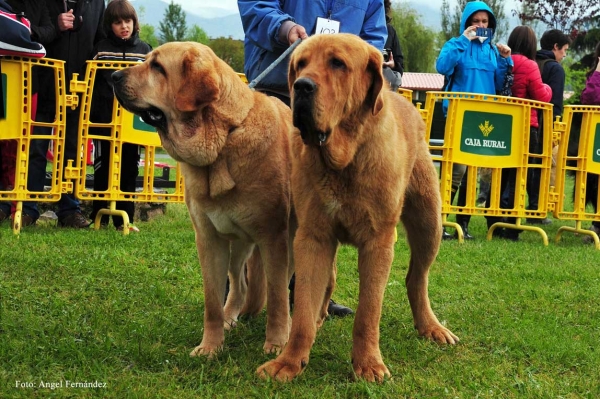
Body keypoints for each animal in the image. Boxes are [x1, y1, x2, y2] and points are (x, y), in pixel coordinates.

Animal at [112, 43, 296, 360]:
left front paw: (275, 344)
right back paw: (230, 317)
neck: (225, 138)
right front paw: (210, 346)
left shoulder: (274, 240)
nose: (112, 76)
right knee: (240, 285)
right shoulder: (209, 240)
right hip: (239, 245)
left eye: (158, 67)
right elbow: (212, 301)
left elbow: (276, 297)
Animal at [258, 32, 460, 382]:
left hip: (429, 222)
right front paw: (289, 361)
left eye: (338, 63)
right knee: (328, 283)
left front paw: (368, 364)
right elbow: (303, 309)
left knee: (417, 278)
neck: (344, 159)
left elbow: (368, 311)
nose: (301, 86)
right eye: (300, 64)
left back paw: (432, 327)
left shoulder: (378, 242)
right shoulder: (312, 237)